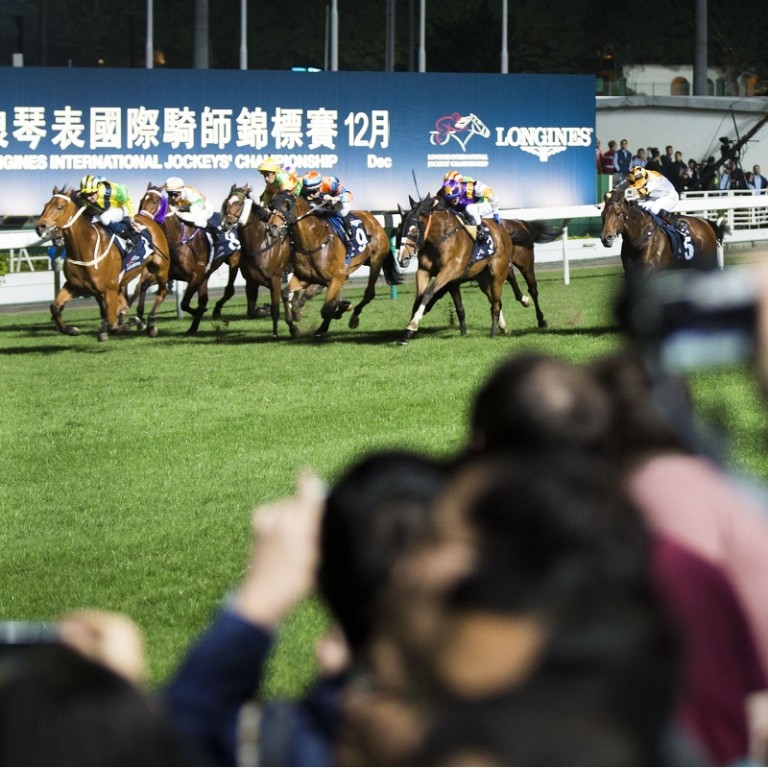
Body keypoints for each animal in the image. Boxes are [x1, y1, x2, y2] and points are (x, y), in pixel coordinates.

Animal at [34, 186, 170, 342]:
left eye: (59, 207)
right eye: (45, 206)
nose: (40, 227)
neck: (87, 246)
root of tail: (148, 219)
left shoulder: (110, 289)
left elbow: (113, 325)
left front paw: (133, 322)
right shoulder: (74, 285)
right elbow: (55, 307)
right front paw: (72, 330)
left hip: (161, 268)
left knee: (161, 291)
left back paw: (150, 324)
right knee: (141, 289)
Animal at [266, 190, 400, 334]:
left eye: (286, 204)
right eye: (271, 206)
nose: (272, 227)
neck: (312, 241)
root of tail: (374, 220)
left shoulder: (336, 278)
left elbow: (327, 309)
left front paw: (328, 322)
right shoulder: (305, 277)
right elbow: (286, 294)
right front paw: (294, 325)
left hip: (376, 260)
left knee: (369, 293)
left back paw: (354, 318)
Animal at [396, 195, 520, 344]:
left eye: (414, 230)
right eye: (399, 228)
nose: (401, 258)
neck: (440, 237)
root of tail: (502, 229)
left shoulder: (449, 271)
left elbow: (428, 293)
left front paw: (413, 325)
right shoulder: (424, 271)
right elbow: (419, 298)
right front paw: (407, 333)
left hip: (497, 272)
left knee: (496, 301)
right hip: (482, 278)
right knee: (494, 299)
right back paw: (505, 328)